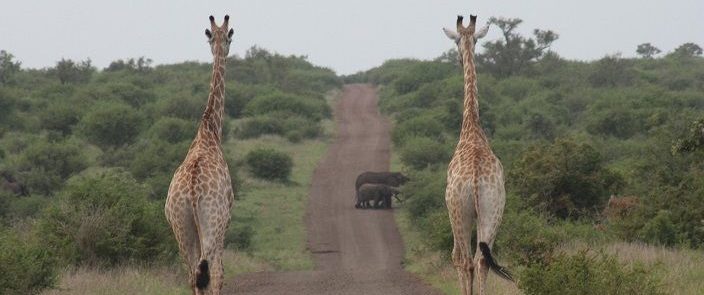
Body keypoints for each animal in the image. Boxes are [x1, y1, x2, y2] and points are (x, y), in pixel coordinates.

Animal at [166, 15, 236, 294]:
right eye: (230, 37)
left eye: (223, 36)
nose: (225, 49)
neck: (210, 130)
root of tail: (193, 191)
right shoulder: (226, 222)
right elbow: (218, 274)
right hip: (212, 225)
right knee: (213, 273)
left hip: (181, 228)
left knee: (192, 276)